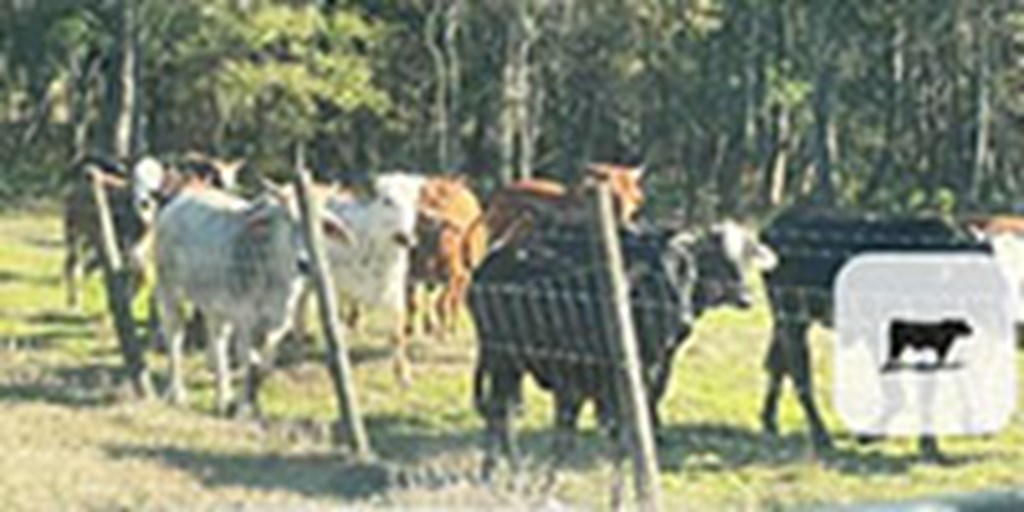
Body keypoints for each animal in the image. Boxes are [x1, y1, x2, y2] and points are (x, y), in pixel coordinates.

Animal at [468, 220, 770, 475]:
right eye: (722, 259)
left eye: (746, 257)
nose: (745, 298)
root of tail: (489, 263)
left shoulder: (657, 360)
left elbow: (651, 395)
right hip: (502, 359)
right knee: (499, 412)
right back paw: (498, 471)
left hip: (510, 364)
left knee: (502, 412)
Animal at [765, 205, 987, 454]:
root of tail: (772, 226)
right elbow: (902, 394)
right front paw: (873, 435)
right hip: (792, 319)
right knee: (798, 372)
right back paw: (821, 435)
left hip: (787, 321)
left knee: (777, 364)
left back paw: (770, 420)